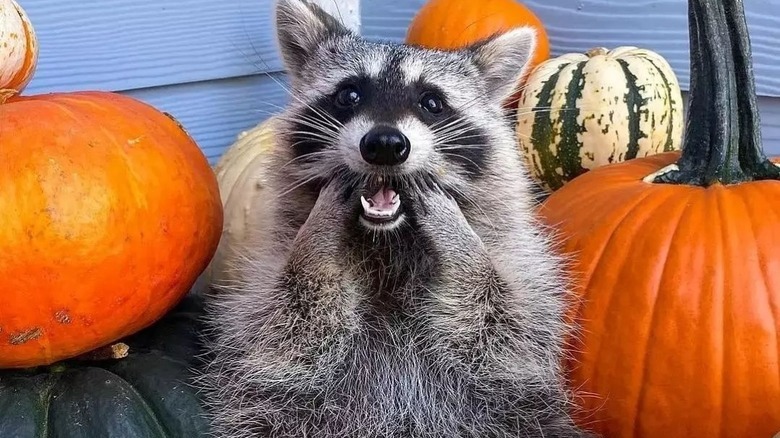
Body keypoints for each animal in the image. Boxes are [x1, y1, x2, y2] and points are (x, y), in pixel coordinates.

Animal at [198, 0, 594, 436]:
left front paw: (461, 242)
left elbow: (497, 326)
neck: (389, 241)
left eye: (431, 102)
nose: (385, 144)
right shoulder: (261, 296)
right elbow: (294, 326)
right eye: (349, 94)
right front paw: (317, 239)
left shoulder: (527, 286)